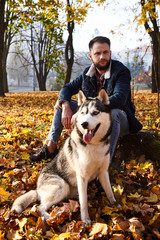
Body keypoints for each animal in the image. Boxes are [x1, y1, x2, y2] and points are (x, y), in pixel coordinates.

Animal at [11, 88, 115, 225]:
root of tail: (37, 188)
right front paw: (85, 220)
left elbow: (109, 191)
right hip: (61, 185)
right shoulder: (82, 176)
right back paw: (49, 218)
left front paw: (117, 206)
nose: (84, 124)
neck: (94, 145)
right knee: (39, 207)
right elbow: (84, 203)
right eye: (83, 113)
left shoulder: (103, 172)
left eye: (95, 113)